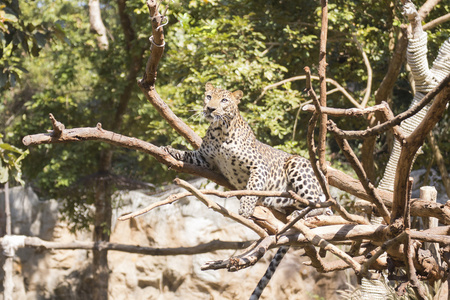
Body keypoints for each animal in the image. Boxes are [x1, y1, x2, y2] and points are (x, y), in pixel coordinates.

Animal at [162, 82, 326, 300]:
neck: (219, 131)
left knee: (321, 205)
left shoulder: (258, 166)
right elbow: (187, 154)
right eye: (208, 97)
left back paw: (302, 214)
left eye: (224, 100)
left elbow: (253, 187)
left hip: (298, 165)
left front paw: (246, 208)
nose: (210, 109)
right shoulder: (204, 159)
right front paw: (170, 150)